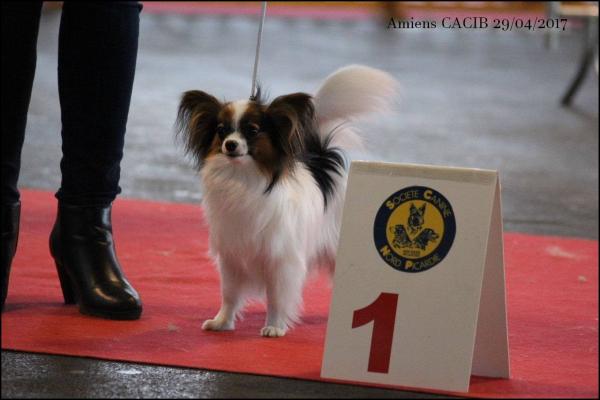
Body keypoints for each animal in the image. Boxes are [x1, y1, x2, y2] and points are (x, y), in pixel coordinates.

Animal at [175, 65, 398, 338]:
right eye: (221, 130)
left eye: (252, 130)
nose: (230, 145)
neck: (244, 178)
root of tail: (323, 163)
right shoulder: (231, 257)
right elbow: (229, 295)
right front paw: (222, 322)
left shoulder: (281, 261)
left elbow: (277, 298)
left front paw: (274, 326)